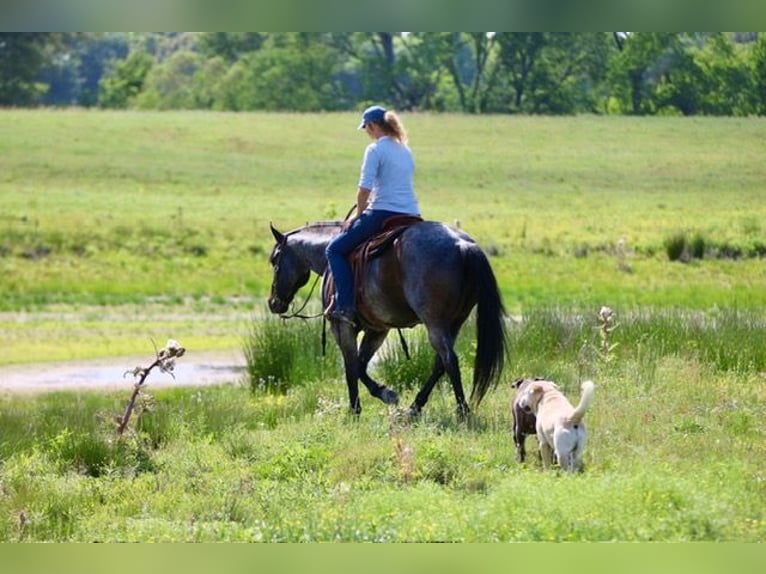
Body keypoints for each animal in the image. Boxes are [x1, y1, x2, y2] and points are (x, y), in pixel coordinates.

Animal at [267, 219, 507, 419]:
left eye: (274, 260)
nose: (273, 302)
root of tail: (463, 245)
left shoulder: (342, 327)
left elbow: (351, 367)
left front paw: (356, 410)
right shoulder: (377, 330)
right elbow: (361, 365)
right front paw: (383, 394)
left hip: (435, 323)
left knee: (449, 360)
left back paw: (462, 410)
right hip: (454, 322)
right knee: (440, 364)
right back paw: (415, 407)